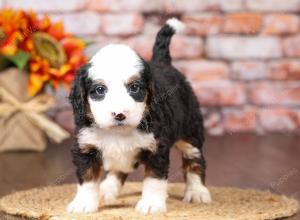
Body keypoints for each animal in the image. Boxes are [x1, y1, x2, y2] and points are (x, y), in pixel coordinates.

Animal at [67, 18, 211, 214]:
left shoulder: (157, 147)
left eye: (134, 88)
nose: (119, 114)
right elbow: (87, 178)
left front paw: (151, 203)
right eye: (99, 90)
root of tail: (163, 62)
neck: (118, 133)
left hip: (190, 129)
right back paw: (108, 188)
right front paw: (83, 203)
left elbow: (154, 180)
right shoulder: (85, 146)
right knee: (119, 169)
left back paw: (197, 191)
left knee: (194, 159)